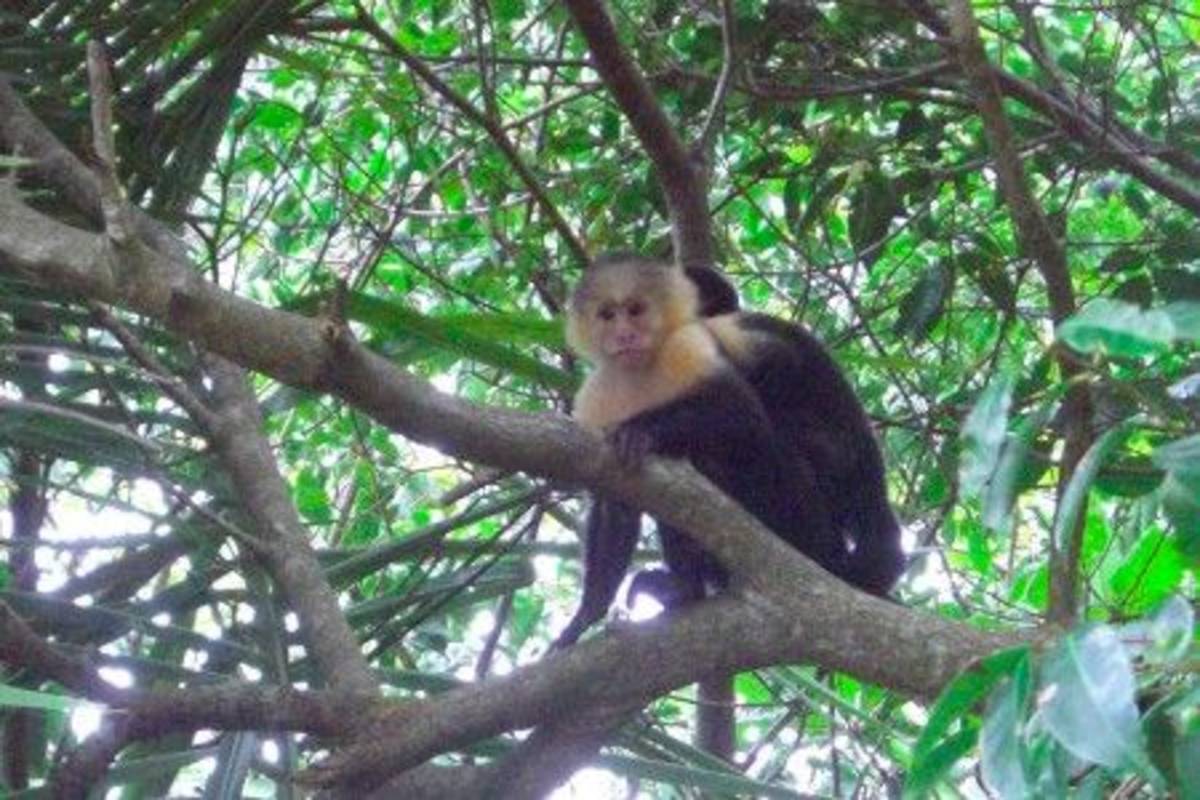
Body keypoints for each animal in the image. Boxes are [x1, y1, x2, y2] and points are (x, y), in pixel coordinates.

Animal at [554, 254, 845, 649]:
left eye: (636, 309)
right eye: (607, 315)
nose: (624, 335)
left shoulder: (688, 346)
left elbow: (744, 416)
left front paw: (640, 430)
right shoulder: (594, 401)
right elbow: (612, 502)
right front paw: (587, 614)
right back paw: (686, 590)